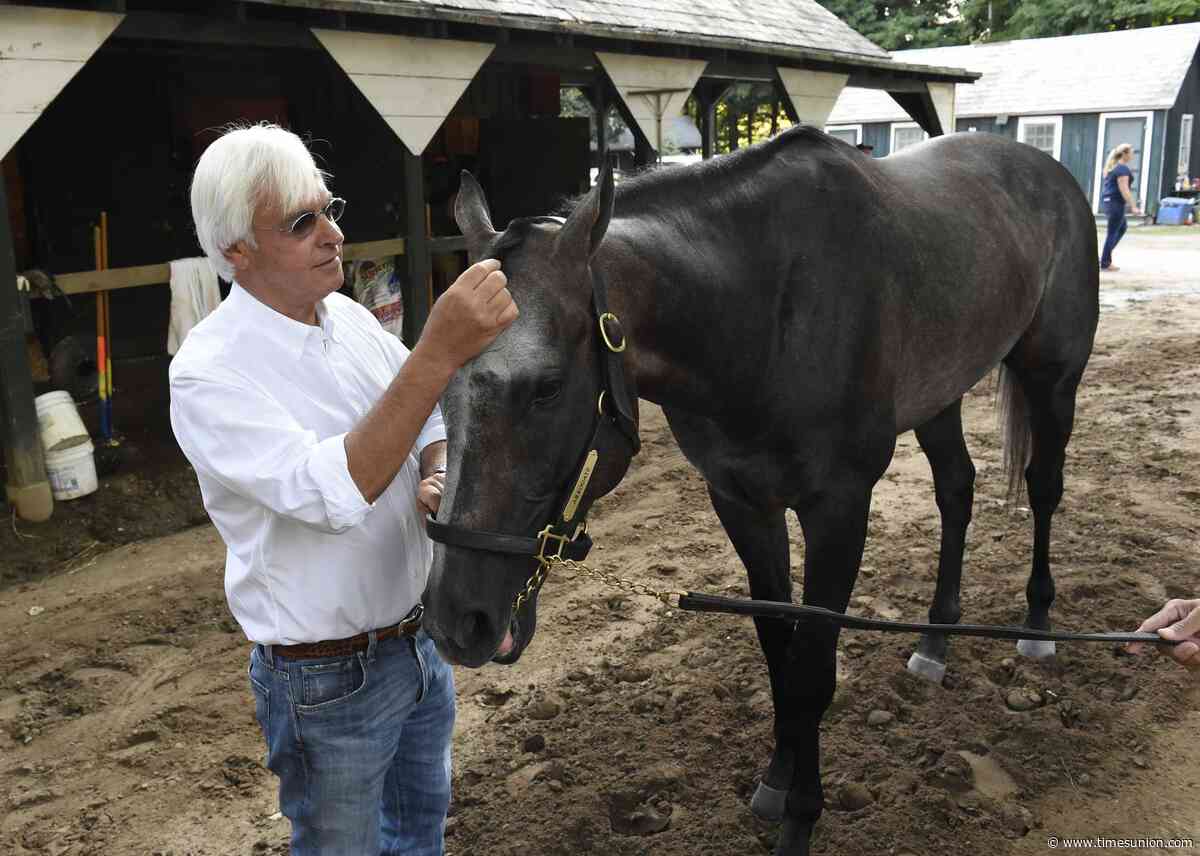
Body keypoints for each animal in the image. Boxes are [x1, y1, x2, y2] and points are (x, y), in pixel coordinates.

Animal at [422, 125, 1099, 855]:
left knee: (1043, 489)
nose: (457, 620)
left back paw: (1036, 627)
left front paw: (802, 817)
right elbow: (779, 649)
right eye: (435, 376)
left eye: (545, 388)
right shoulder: (743, 503)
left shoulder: (839, 510)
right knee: (956, 491)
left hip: (1053, 378)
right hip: (941, 395)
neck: (764, 313)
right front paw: (778, 778)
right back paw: (935, 641)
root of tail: (1049, 172)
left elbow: (813, 669)